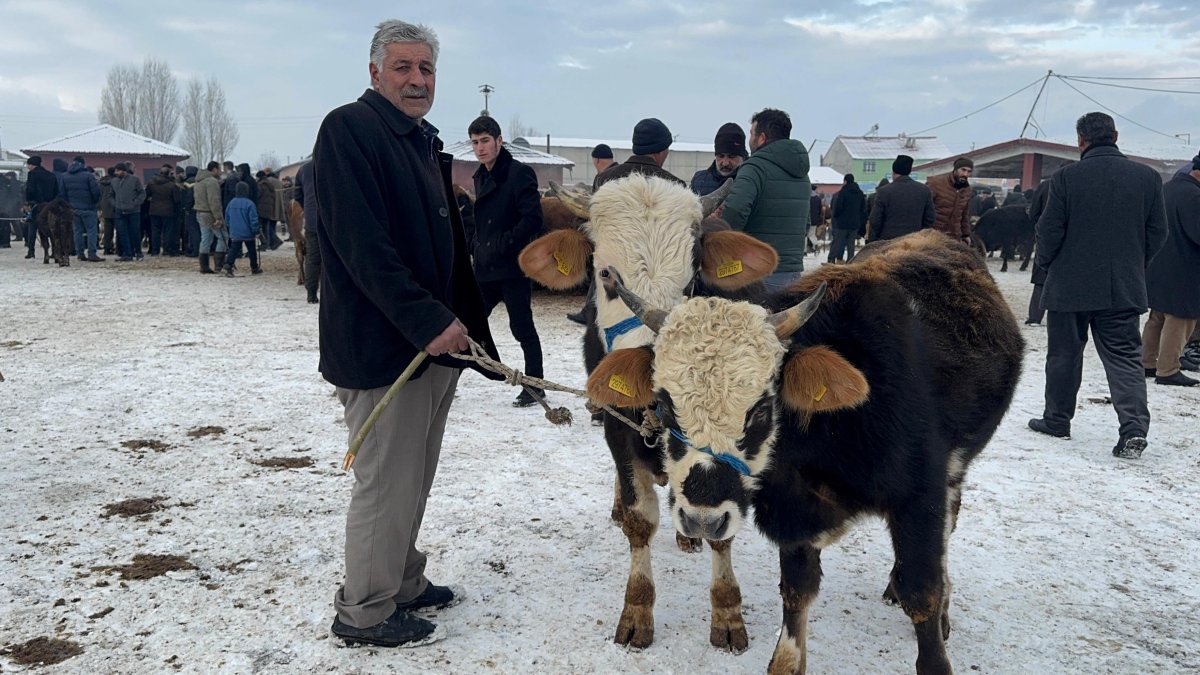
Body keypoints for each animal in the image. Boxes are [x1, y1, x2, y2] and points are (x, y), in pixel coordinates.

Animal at [523, 172, 777, 653]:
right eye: (605, 274)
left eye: (693, 278)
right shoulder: (619, 430)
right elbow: (640, 520)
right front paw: (636, 613)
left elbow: (721, 528)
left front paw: (727, 615)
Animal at [590, 229, 1022, 667]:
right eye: (663, 404)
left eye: (762, 408)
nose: (703, 520)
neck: (837, 431)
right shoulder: (795, 512)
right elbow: (797, 598)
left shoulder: (921, 500)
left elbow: (922, 594)